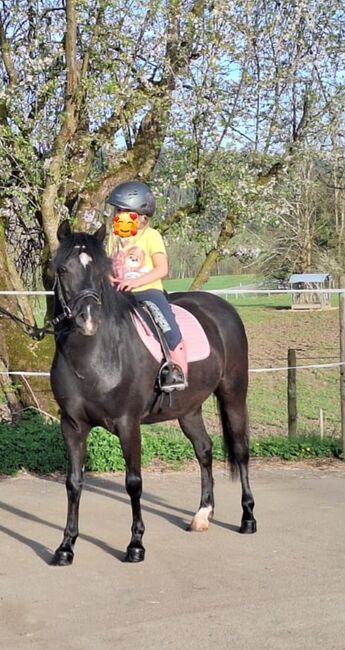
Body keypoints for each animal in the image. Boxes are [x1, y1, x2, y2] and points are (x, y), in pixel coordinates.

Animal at [49, 219, 255, 560]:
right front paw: (66, 546)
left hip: (233, 394)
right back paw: (202, 515)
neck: (95, 355)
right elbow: (73, 482)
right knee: (204, 449)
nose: (87, 320)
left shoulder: (127, 424)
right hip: (189, 409)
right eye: (63, 269)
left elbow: (134, 482)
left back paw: (248, 518)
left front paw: (135, 544)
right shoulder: (72, 426)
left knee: (240, 450)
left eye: (101, 271)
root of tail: (222, 307)